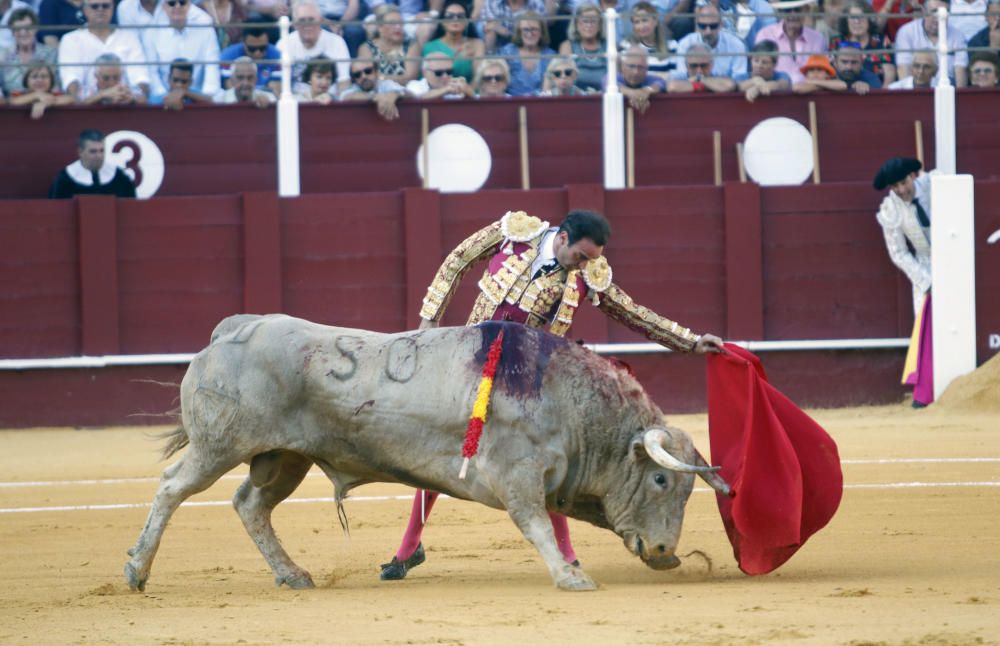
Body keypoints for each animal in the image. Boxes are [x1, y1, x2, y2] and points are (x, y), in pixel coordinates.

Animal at [127, 316, 728, 596]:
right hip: (220, 445)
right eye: (661, 482)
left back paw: (294, 574)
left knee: (251, 504)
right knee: (172, 486)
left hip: (284, 457)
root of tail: (232, 329)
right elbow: (536, 524)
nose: (666, 552)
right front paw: (570, 577)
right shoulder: (517, 475)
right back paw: (136, 569)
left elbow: (552, 521)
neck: (572, 401)